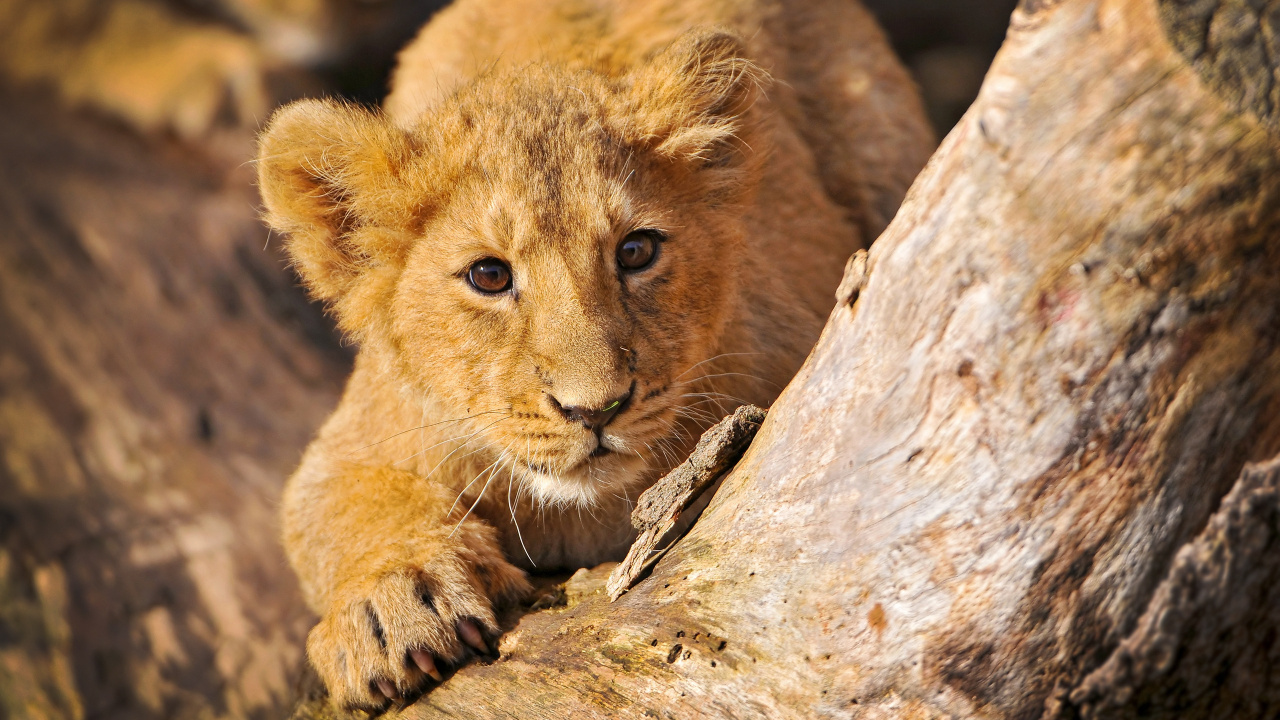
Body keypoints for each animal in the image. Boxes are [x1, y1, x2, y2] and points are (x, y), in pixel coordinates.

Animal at [256, 0, 933, 710]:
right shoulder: (357, 436)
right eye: (489, 275)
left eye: (636, 251)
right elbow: (342, 508)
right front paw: (394, 603)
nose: (596, 411)